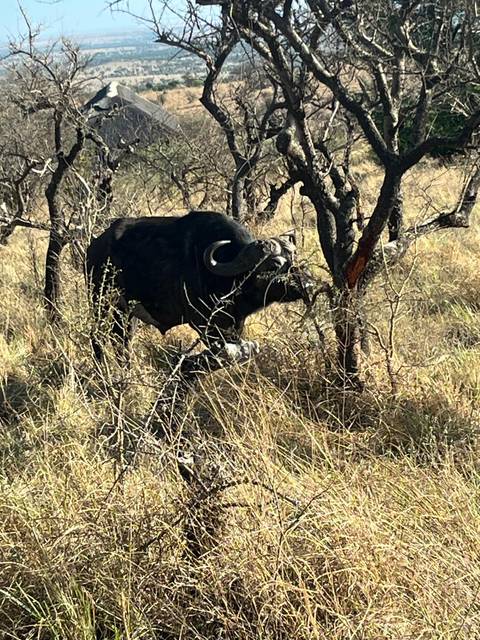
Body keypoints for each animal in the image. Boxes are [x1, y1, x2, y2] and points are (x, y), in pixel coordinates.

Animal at [86, 210, 313, 372]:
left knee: (122, 340)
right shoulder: (205, 325)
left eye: (294, 258)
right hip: (100, 301)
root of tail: (94, 246)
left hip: (126, 312)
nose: (307, 284)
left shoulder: (234, 326)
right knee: (98, 336)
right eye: (275, 265)